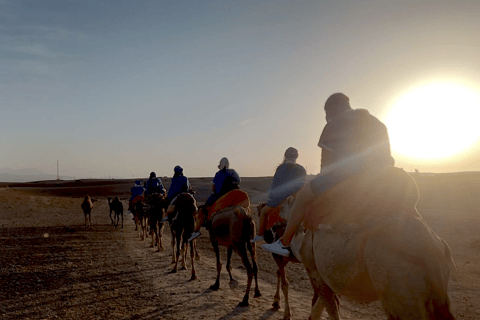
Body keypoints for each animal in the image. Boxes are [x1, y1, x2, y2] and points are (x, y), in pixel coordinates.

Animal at [284, 168, 456, 320]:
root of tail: (433, 251)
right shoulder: (329, 280)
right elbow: (317, 311)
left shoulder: (314, 270)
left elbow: (330, 311)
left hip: (398, 289)